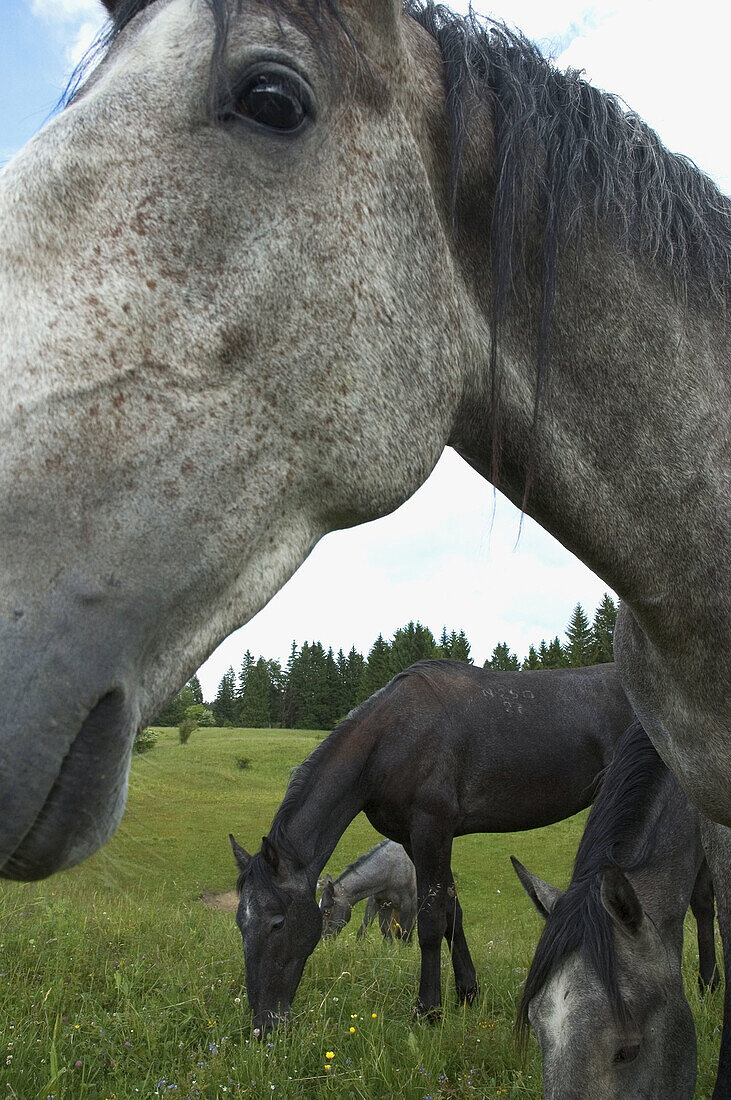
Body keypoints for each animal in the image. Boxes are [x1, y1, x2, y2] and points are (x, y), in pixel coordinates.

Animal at [226, 655, 712, 1034]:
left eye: (276, 922)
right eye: (240, 923)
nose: (264, 1026)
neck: (391, 737)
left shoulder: (431, 830)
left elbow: (430, 922)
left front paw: (428, 1011)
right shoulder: (423, 839)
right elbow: (453, 914)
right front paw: (467, 993)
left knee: (703, 897)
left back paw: (707, 986)